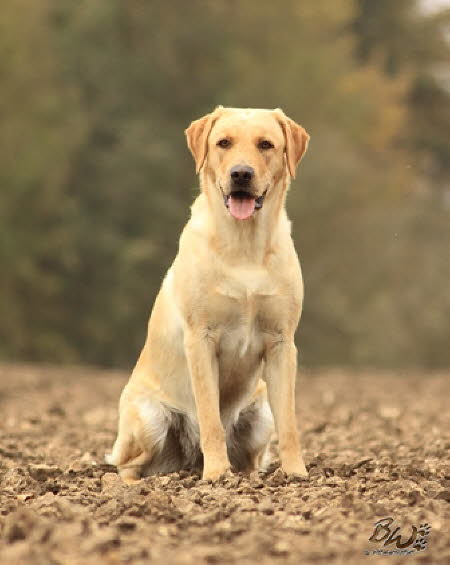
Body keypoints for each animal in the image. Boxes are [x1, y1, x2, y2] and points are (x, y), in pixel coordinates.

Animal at [106, 106, 310, 480]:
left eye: (266, 144)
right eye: (223, 143)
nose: (241, 173)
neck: (244, 245)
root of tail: (187, 461)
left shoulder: (282, 342)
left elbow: (289, 424)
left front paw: (296, 474)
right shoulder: (201, 338)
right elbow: (210, 419)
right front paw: (216, 475)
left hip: (259, 414)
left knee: (251, 458)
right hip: (149, 419)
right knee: (127, 466)